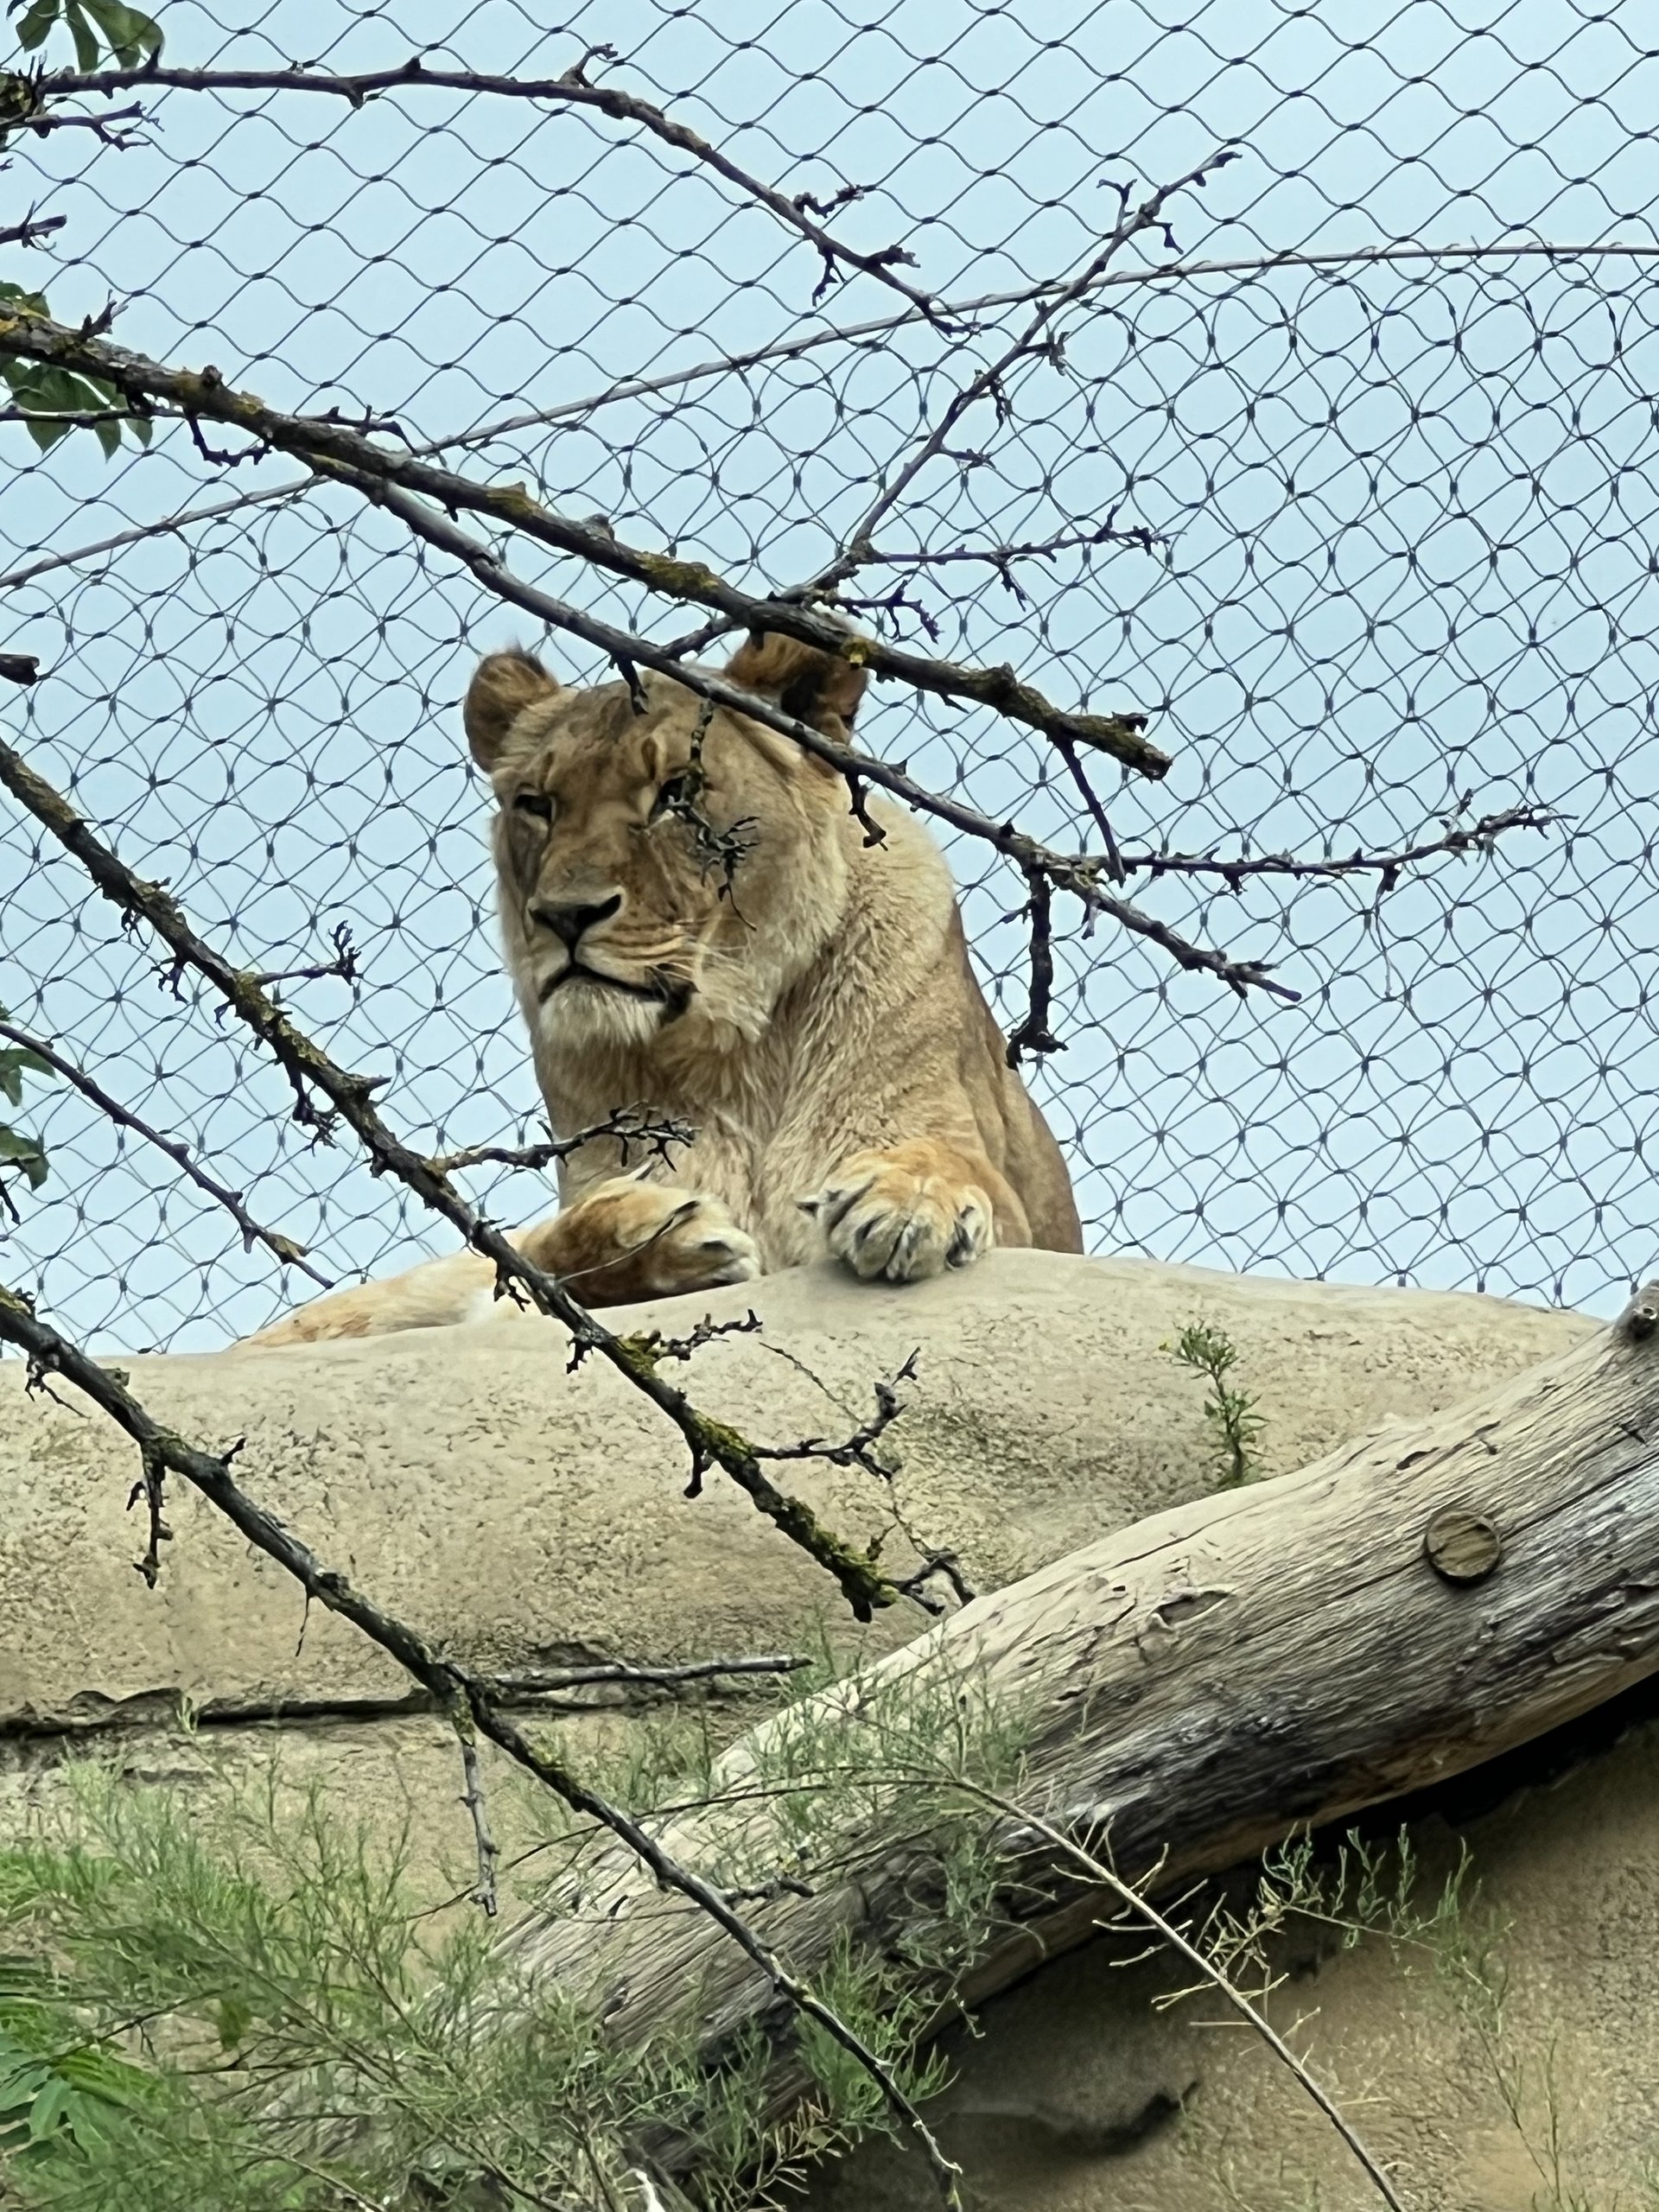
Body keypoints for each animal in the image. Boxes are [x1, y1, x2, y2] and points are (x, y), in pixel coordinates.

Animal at [242, 632, 1082, 1347]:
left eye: (677, 793)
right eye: (537, 804)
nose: (565, 915)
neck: (730, 1053)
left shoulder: (1014, 1204)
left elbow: (951, 1165)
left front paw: (908, 1197)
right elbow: (529, 1273)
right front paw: (652, 1235)